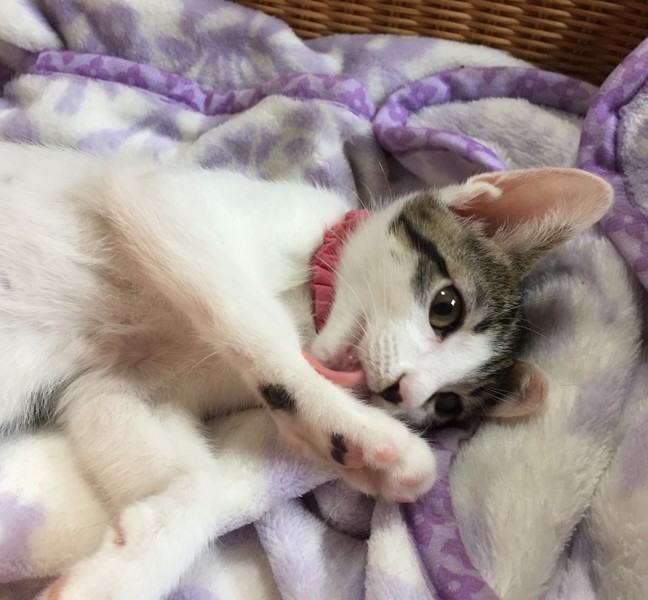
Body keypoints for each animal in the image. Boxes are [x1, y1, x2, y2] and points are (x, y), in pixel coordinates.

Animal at [0, 142, 611, 600]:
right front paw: (369, 441)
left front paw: (120, 573)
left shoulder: (118, 385)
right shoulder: (161, 197)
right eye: (446, 307)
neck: (309, 298)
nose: (401, 391)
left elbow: (187, 474)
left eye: (446, 405)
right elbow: (260, 330)